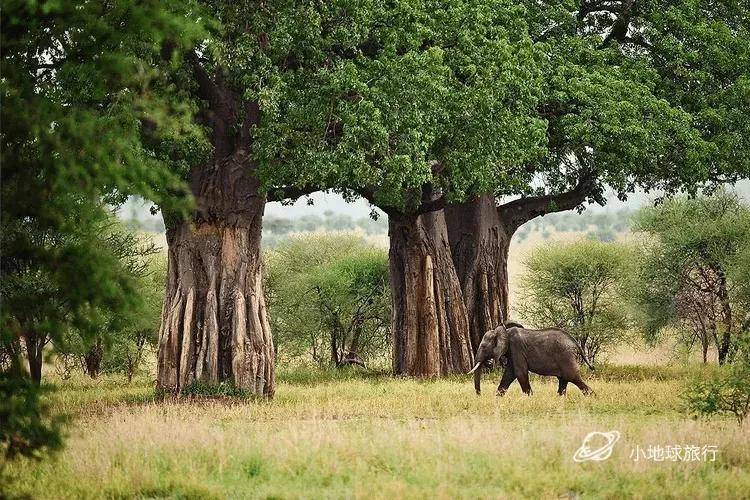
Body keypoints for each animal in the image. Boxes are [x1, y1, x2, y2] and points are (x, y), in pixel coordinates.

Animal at [468, 326, 596, 396]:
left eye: (484, 347)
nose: (479, 395)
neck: (505, 331)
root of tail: (576, 343)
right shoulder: (512, 352)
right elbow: (509, 375)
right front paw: (497, 399)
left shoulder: (516, 348)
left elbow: (520, 373)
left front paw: (530, 398)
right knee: (563, 380)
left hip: (566, 357)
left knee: (573, 377)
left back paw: (593, 397)